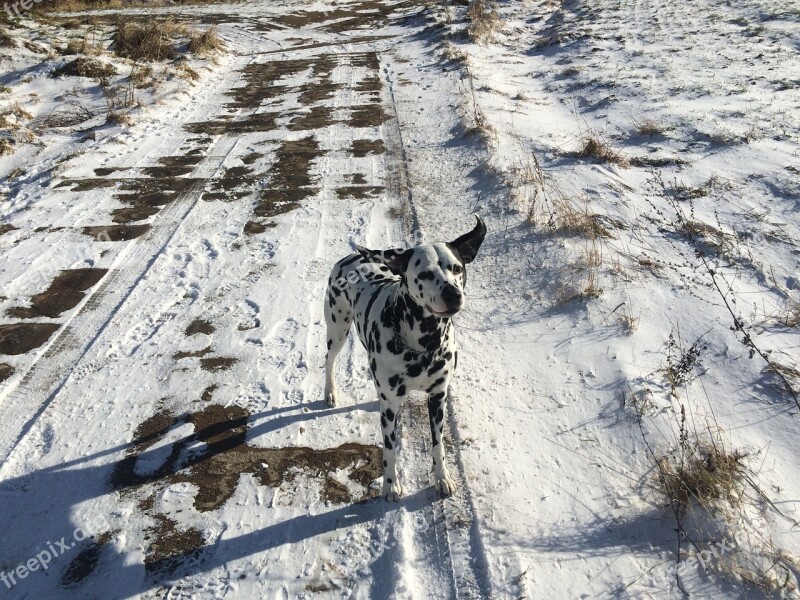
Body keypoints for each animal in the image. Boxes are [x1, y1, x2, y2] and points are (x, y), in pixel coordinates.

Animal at [324, 216, 488, 502]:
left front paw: (442, 478)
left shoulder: (438, 397)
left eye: (457, 268)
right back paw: (330, 392)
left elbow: (438, 445)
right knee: (329, 359)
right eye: (424, 274)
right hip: (337, 329)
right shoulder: (389, 408)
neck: (425, 342)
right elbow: (389, 450)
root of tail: (352, 257)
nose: (453, 294)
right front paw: (391, 485)